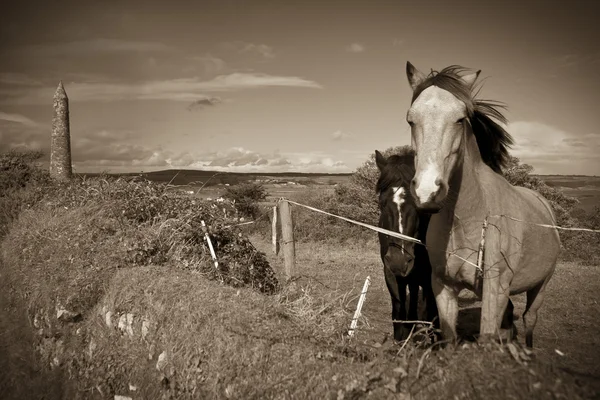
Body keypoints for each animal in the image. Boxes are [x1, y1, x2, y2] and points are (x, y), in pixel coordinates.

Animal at [376, 148, 440, 342]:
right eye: (381, 203)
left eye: (419, 205)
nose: (399, 260)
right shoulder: (390, 273)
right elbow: (399, 309)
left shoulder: (428, 278)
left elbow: (430, 312)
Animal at [404, 61, 564, 346]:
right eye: (411, 119)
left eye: (459, 119)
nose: (427, 192)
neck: (466, 221)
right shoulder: (443, 288)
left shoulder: (495, 290)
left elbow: (488, 335)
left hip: (542, 284)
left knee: (529, 319)